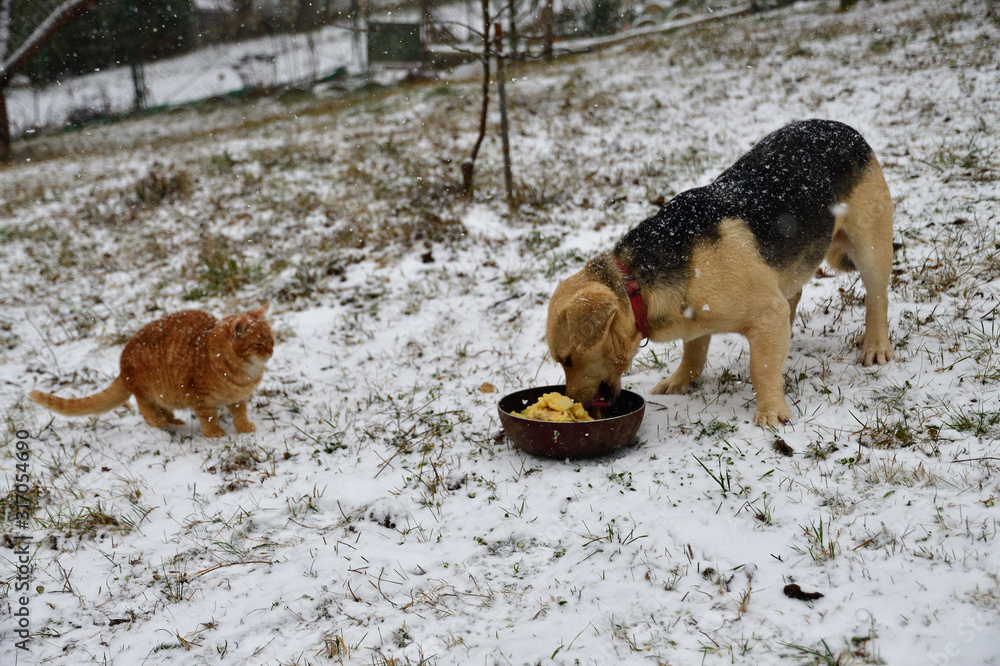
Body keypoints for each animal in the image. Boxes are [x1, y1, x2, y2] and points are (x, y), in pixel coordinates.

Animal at [31, 304, 274, 436]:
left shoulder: (238, 398)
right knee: (145, 408)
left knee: (162, 408)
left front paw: (244, 429)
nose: (271, 351)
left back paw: (174, 421)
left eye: (271, 339)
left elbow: (240, 414)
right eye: (259, 344)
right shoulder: (201, 399)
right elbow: (209, 418)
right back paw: (159, 423)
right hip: (147, 390)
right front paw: (215, 435)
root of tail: (122, 363)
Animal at [552, 118, 896, 426]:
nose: (574, 402)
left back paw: (876, 346)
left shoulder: (766, 313)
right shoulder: (695, 316)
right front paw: (681, 380)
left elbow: (762, 368)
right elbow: (693, 349)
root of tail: (843, 128)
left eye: (567, 360)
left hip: (871, 246)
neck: (636, 282)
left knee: (877, 298)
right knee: (794, 295)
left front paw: (771, 412)